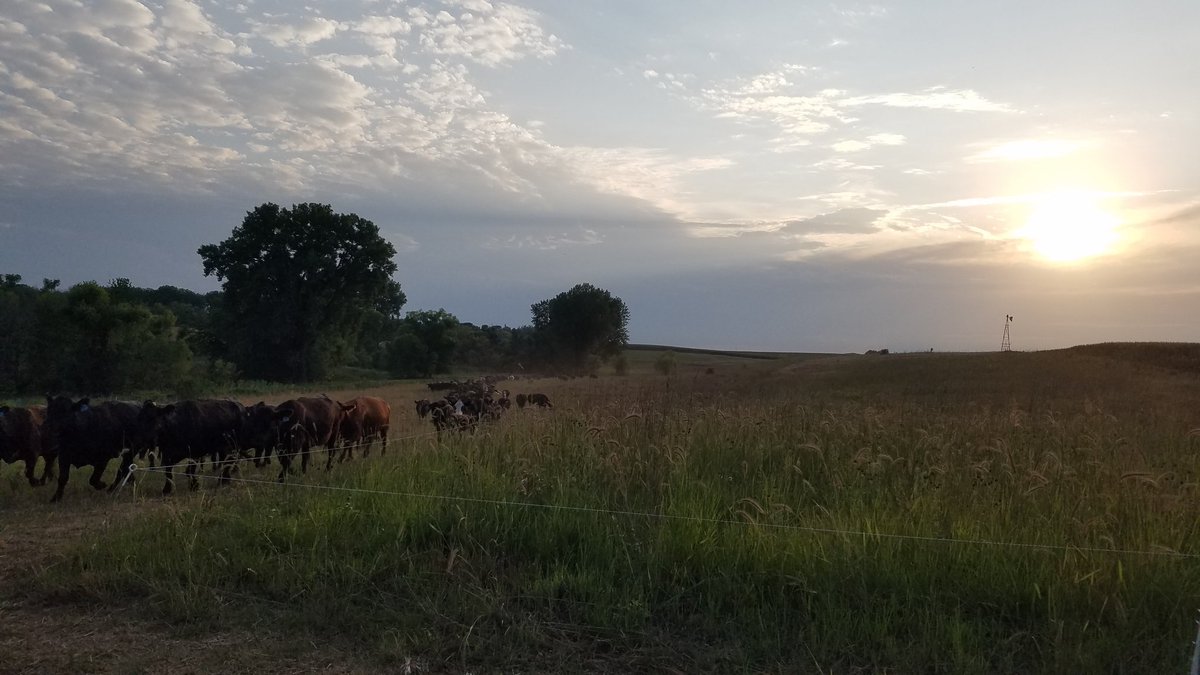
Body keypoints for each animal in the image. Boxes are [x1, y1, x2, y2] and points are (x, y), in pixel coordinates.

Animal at [116, 399, 245, 495]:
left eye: (152, 418)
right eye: (139, 418)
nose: (140, 437)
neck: (175, 426)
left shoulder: (195, 452)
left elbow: (190, 471)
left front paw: (194, 486)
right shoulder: (168, 455)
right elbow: (168, 473)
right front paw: (167, 489)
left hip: (233, 445)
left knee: (230, 461)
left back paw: (224, 480)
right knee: (228, 461)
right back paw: (225, 479)